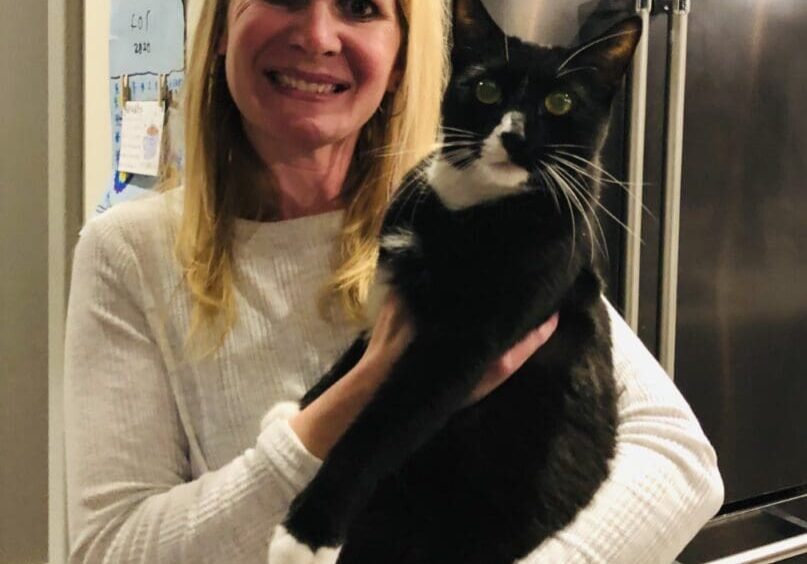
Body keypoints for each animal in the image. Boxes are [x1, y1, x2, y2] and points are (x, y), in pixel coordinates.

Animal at [272, 2, 644, 560]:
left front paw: (305, 533)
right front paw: (296, 409)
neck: (471, 207)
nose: (513, 136)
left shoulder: (466, 343)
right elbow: (351, 362)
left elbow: (384, 424)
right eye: (485, 89)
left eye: (560, 102)